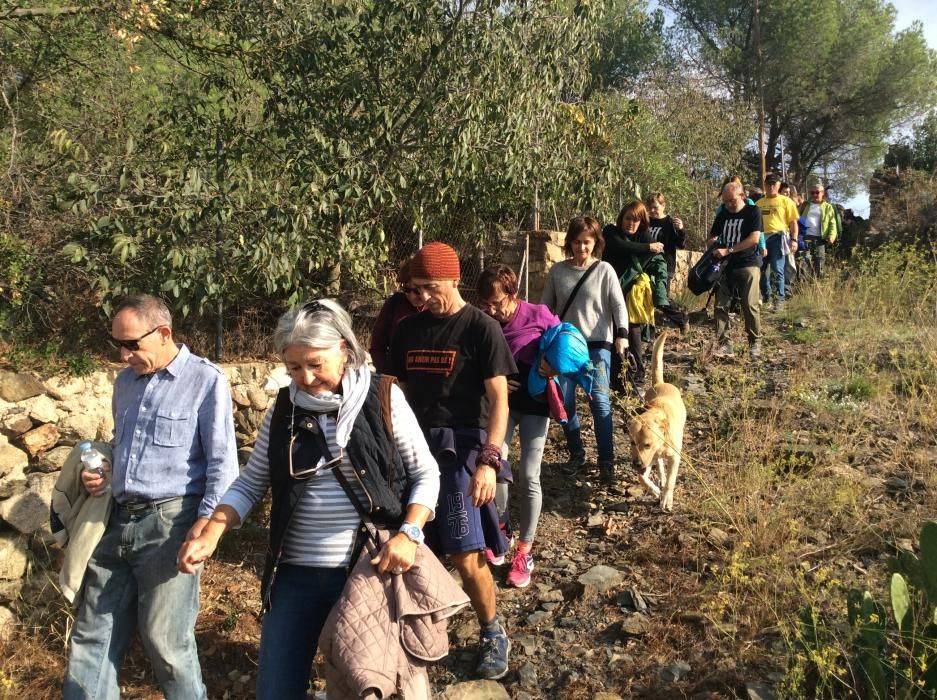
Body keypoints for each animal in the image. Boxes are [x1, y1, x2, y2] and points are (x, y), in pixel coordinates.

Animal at [628, 330, 688, 512]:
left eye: (647, 444)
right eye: (632, 442)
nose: (636, 464)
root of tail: (659, 383)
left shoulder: (674, 457)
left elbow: (671, 481)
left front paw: (666, 498)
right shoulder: (646, 461)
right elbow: (642, 479)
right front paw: (655, 491)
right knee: (660, 464)